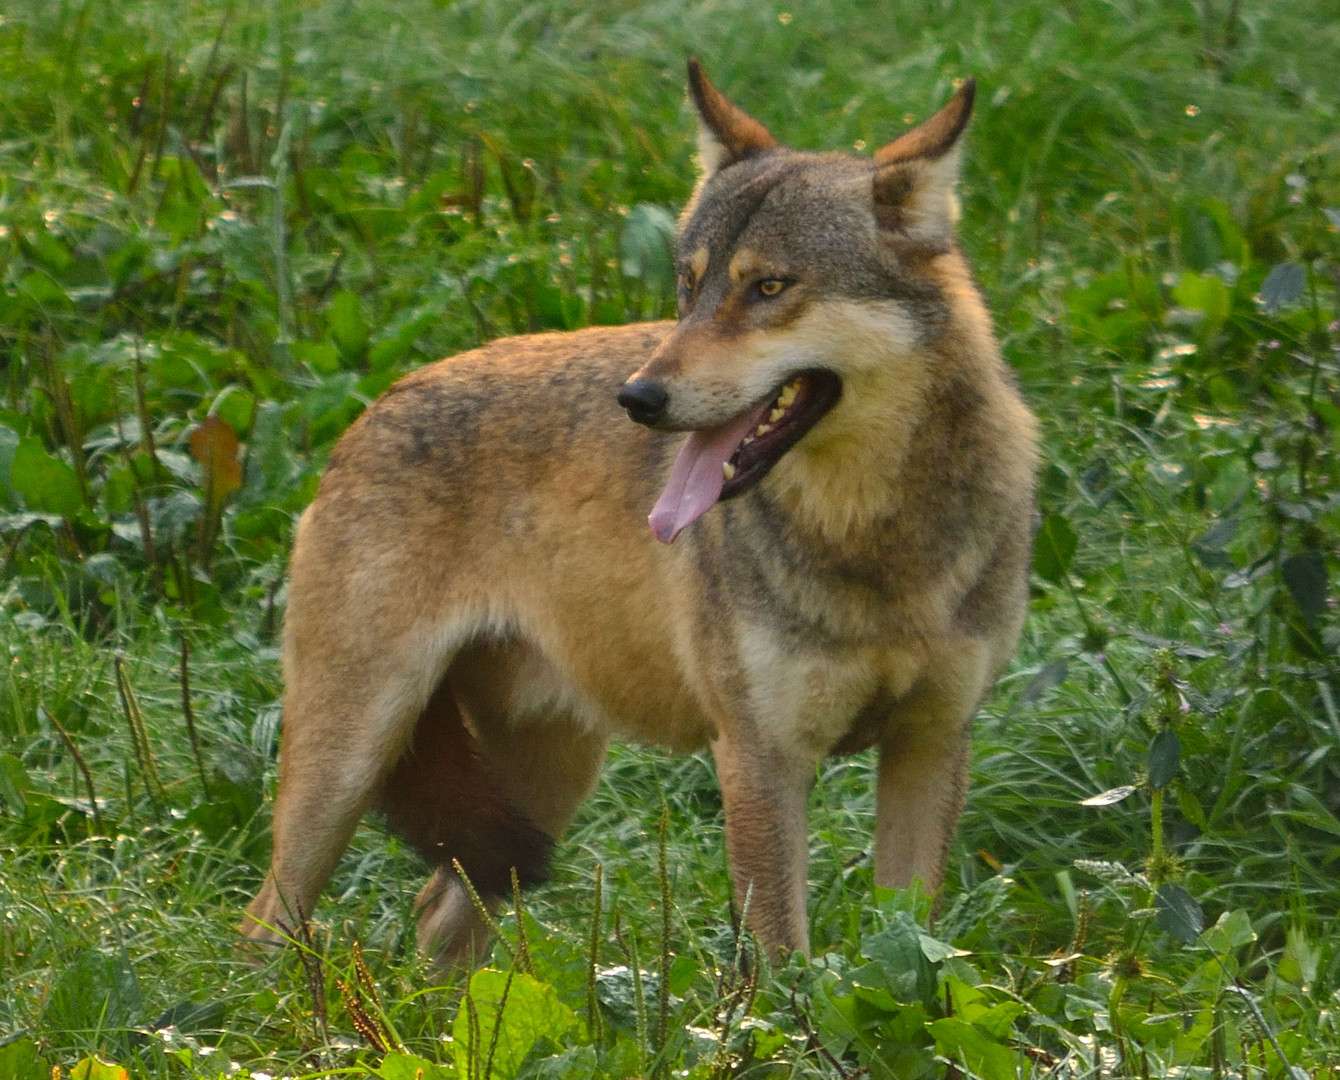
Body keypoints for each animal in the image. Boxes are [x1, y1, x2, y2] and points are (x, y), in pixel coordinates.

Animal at [241, 59, 1034, 970]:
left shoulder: (931, 746)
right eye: (689, 286)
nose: (639, 398)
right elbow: (781, 968)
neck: (872, 537)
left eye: (768, 287)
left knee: (434, 910)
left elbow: (910, 944)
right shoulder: (759, 760)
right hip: (348, 767)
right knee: (267, 923)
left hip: (538, 792)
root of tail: (371, 405)